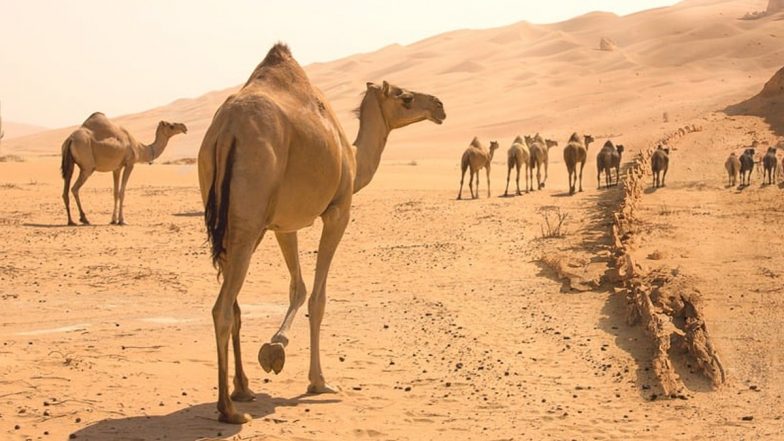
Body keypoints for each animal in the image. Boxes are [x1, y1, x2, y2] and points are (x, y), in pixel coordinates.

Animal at [60, 111, 188, 225]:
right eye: (171, 126)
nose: (184, 127)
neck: (140, 148)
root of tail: (70, 139)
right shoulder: (130, 164)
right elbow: (122, 192)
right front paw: (122, 220)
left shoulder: (117, 168)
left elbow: (115, 192)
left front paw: (113, 220)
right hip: (87, 167)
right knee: (74, 188)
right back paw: (84, 218)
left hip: (70, 163)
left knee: (65, 189)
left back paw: (71, 221)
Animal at [198, 44, 448, 422]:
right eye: (405, 97)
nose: (438, 105)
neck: (354, 158)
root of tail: (228, 129)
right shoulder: (337, 212)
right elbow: (318, 298)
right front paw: (318, 380)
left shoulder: (282, 223)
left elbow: (297, 287)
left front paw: (274, 349)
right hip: (248, 221)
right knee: (222, 310)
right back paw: (228, 410)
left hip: (233, 221)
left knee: (234, 304)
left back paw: (243, 390)